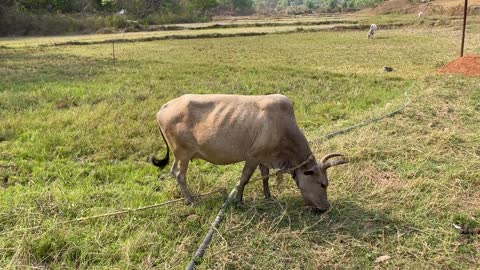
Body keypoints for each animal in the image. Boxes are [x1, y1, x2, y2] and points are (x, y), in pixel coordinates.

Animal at [153, 94, 348, 211]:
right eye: (323, 184)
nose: (326, 207)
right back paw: (191, 200)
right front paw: (239, 200)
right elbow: (244, 179)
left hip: (180, 155)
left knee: (174, 171)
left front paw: (268, 196)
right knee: (180, 174)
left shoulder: (264, 158)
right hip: (183, 153)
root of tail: (166, 105)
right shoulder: (253, 157)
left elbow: (265, 177)